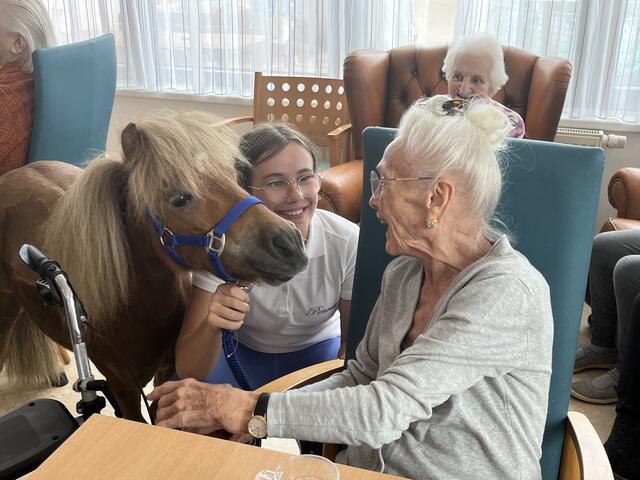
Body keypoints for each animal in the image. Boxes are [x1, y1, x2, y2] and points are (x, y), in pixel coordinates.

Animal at [0, 111, 308, 421]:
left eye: (232, 177)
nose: (290, 243)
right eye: (179, 199)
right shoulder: (123, 385)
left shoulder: (166, 371)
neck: (136, 306)